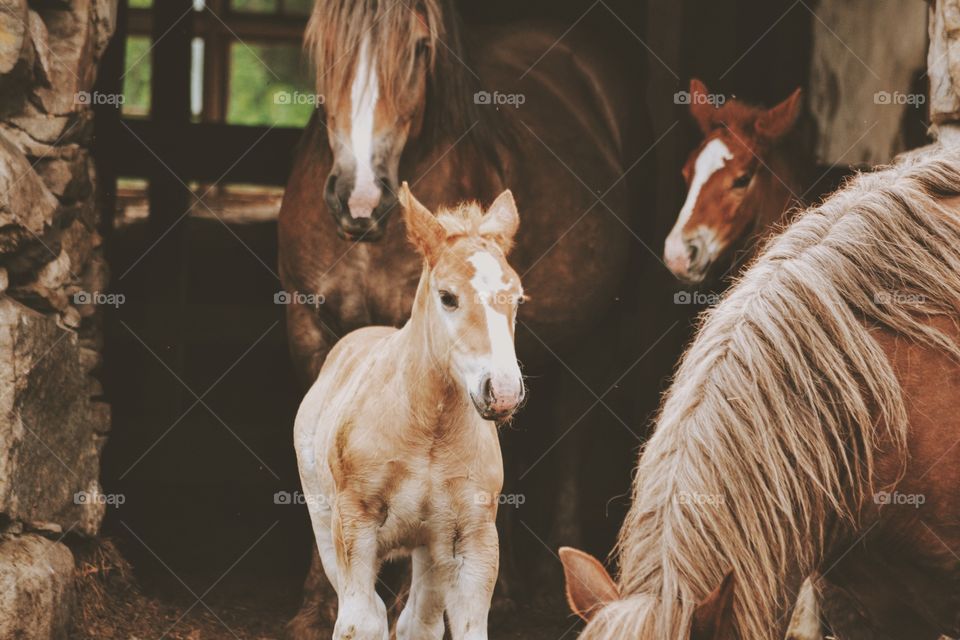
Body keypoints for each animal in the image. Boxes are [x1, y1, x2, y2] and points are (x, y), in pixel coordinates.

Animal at [294, 184, 524, 640]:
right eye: (448, 297)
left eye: (517, 298)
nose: (503, 393)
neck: (428, 429)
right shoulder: (354, 525)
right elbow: (360, 622)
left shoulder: (473, 537)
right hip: (324, 520)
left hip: (430, 545)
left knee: (419, 620)